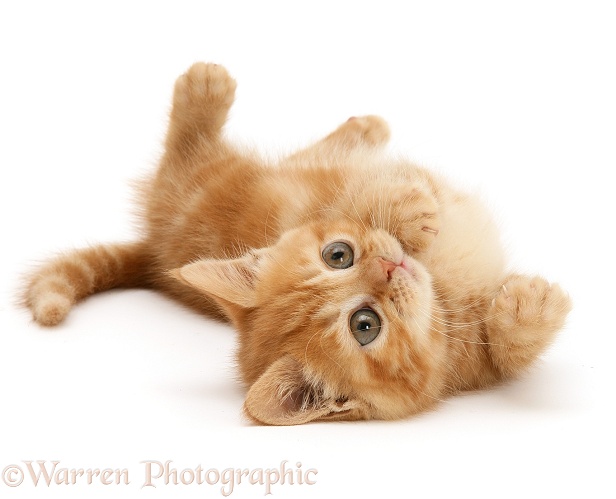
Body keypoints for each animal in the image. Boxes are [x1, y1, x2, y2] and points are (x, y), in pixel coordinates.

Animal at [24, 61, 572, 426]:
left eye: (338, 255)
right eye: (365, 325)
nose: (390, 268)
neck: (442, 292)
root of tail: (156, 254)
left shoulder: (335, 193)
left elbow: (373, 192)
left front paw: (411, 205)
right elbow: (508, 353)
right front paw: (530, 306)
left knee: (309, 155)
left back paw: (365, 127)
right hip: (200, 193)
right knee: (181, 162)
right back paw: (205, 88)